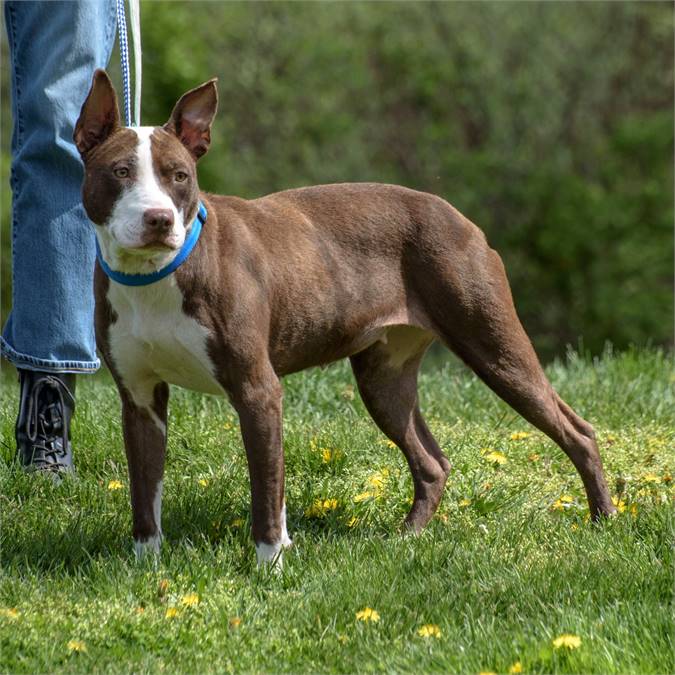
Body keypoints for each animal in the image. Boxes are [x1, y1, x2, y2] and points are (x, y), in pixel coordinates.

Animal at [74, 70, 616, 564]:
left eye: (179, 176)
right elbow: (146, 492)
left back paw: (604, 521)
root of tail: (458, 216)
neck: (155, 275)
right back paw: (407, 538)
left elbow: (266, 489)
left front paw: (270, 565)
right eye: (120, 172)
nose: (159, 219)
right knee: (432, 461)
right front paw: (146, 566)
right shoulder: (140, 398)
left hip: (494, 347)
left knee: (577, 431)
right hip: (384, 377)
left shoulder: (256, 389)